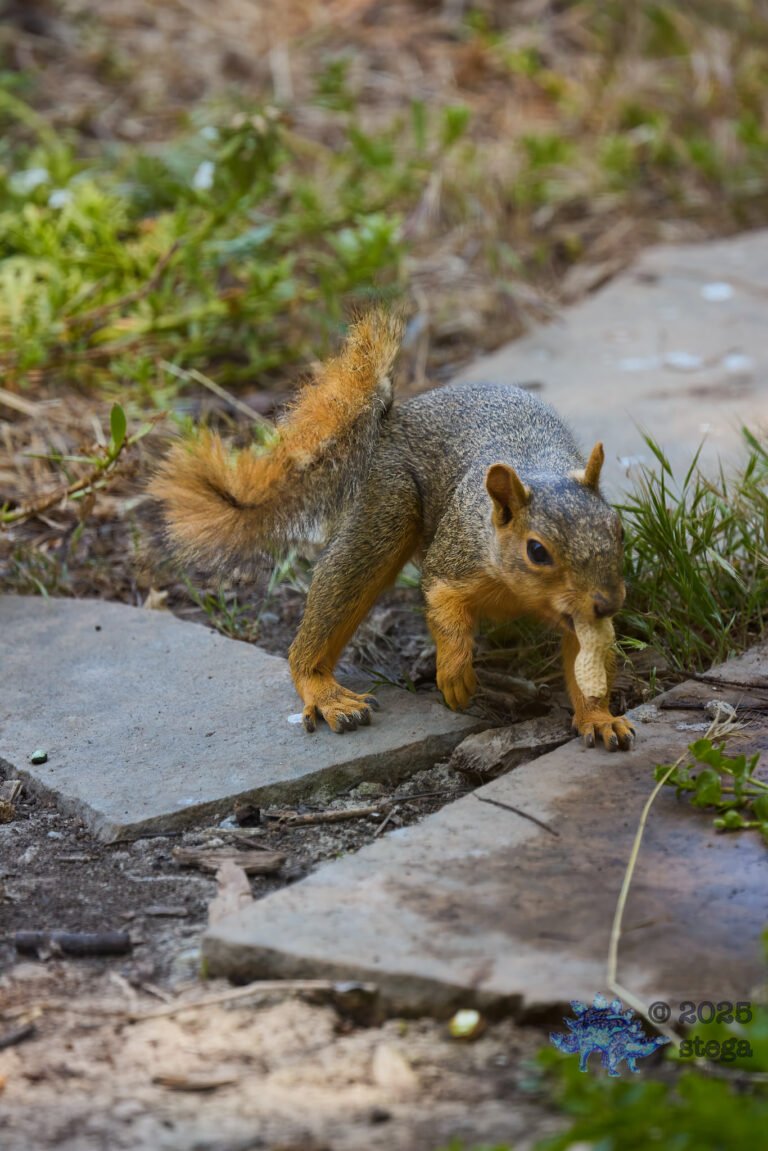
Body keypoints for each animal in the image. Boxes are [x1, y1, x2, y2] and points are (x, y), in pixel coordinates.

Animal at [150, 308, 635, 752]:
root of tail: (393, 420)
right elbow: (444, 606)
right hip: (387, 506)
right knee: (335, 599)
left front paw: (599, 719)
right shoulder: (454, 560)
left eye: (619, 531)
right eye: (537, 551)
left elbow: (589, 660)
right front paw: (455, 675)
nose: (608, 602)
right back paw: (325, 692)